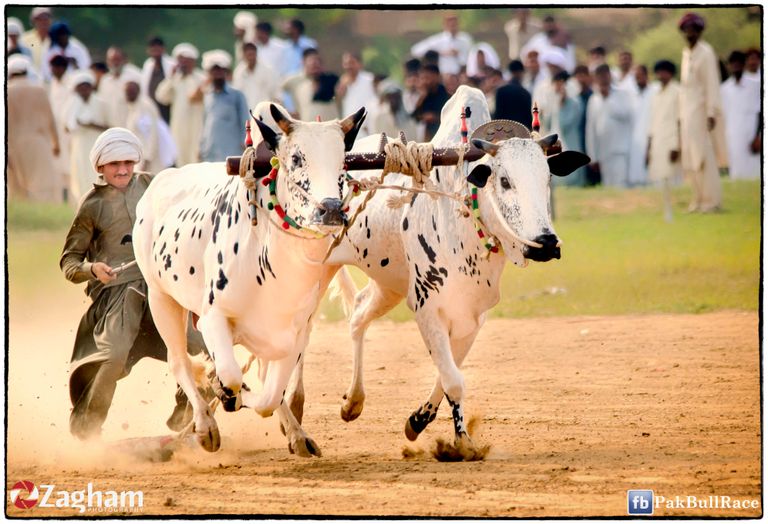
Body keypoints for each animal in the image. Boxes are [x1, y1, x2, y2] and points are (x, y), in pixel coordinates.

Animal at [133, 103, 366, 454]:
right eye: (296, 158)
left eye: (342, 161)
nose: (331, 210)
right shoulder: (213, 317)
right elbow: (229, 375)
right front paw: (225, 393)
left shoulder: (294, 334)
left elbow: (270, 395)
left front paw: (280, 420)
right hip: (161, 299)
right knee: (179, 362)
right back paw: (205, 425)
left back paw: (296, 434)